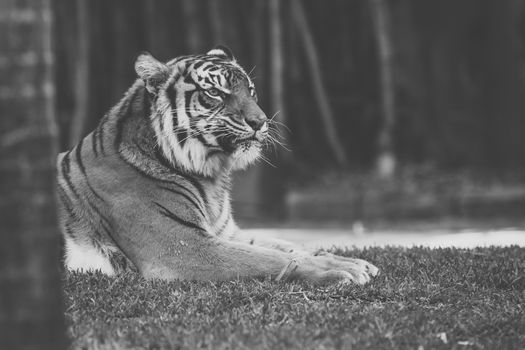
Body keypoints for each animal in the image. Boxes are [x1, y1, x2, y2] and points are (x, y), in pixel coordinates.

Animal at [56, 45, 376, 284]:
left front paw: (352, 261)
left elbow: (290, 244)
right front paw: (342, 271)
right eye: (214, 93)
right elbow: (272, 257)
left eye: (251, 90)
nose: (261, 121)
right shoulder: (182, 245)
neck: (211, 178)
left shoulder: (227, 233)